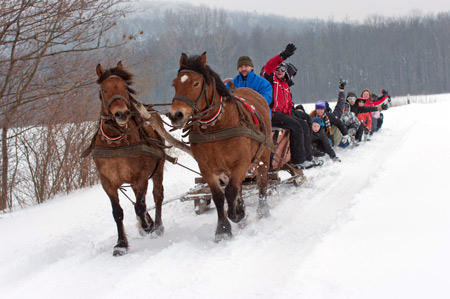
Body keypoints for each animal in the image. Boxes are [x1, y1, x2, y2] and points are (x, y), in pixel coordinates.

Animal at [91, 62, 165, 256]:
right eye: (104, 90)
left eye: (125, 87)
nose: (122, 114)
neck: (116, 143)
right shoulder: (108, 182)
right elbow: (117, 212)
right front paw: (121, 244)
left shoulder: (140, 176)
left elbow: (140, 205)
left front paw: (147, 226)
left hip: (158, 168)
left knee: (157, 195)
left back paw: (157, 225)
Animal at [167, 52, 270, 243]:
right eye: (174, 83)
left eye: (196, 83)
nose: (175, 115)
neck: (215, 127)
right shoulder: (206, 168)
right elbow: (218, 196)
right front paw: (223, 229)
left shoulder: (242, 162)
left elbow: (230, 191)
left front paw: (236, 215)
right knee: (240, 187)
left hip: (264, 154)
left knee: (262, 181)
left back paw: (263, 210)